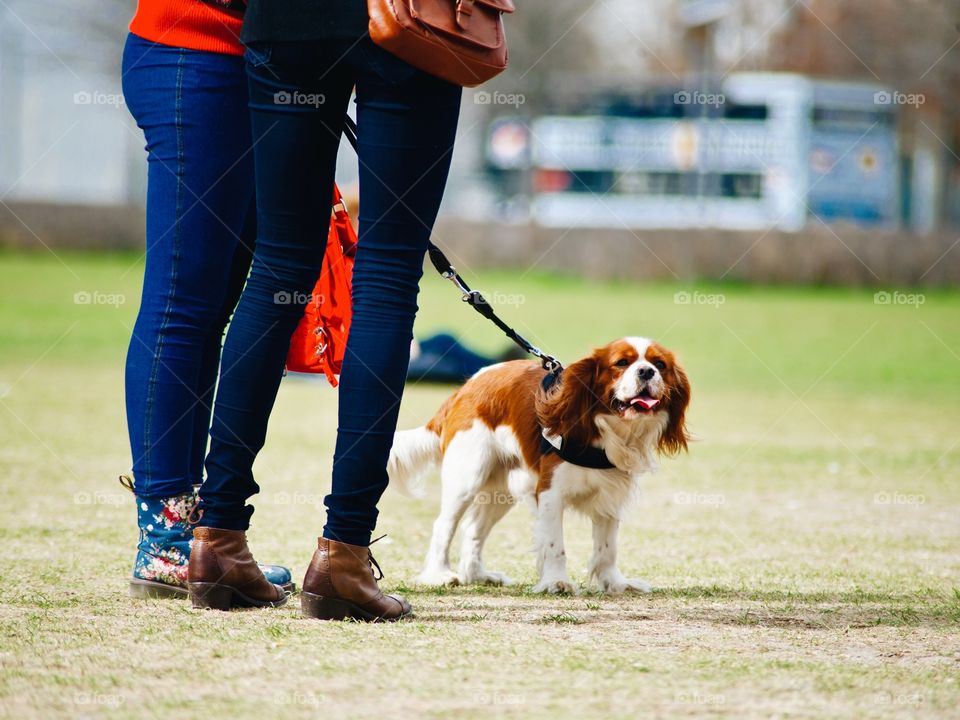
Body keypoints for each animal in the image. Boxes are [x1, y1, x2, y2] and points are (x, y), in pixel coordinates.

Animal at [390, 338, 688, 596]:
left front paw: (615, 583)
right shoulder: (550, 493)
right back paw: (439, 574)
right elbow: (556, 545)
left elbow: (607, 548)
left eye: (659, 364)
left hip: (502, 490)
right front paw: (556, 582)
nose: (647, 371)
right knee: (444, 525)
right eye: (622, 363)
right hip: (467, 476)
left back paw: (477, 575)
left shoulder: (610, 495)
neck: (605, 428)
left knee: (474, 529)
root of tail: (464, 388)